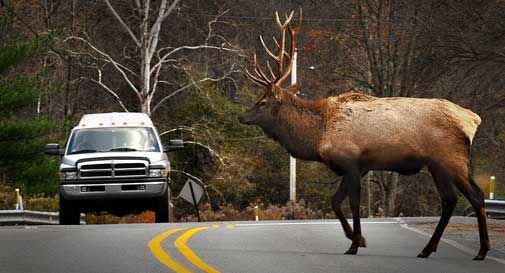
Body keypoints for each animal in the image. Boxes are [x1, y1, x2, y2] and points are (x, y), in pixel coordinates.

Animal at [238, 8, 490, 260]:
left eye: (262, 102)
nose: (241, 117)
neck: (319, 137)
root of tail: (472, 120)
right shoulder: (359, 168)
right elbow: (335, 201)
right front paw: (357, 239)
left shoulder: (351, 162)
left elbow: (353, 203)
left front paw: (355, 243)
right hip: (437, 165)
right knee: (449, 200)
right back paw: (427, 249)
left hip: (452, 159)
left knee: (476, 196)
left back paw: (481, 251)